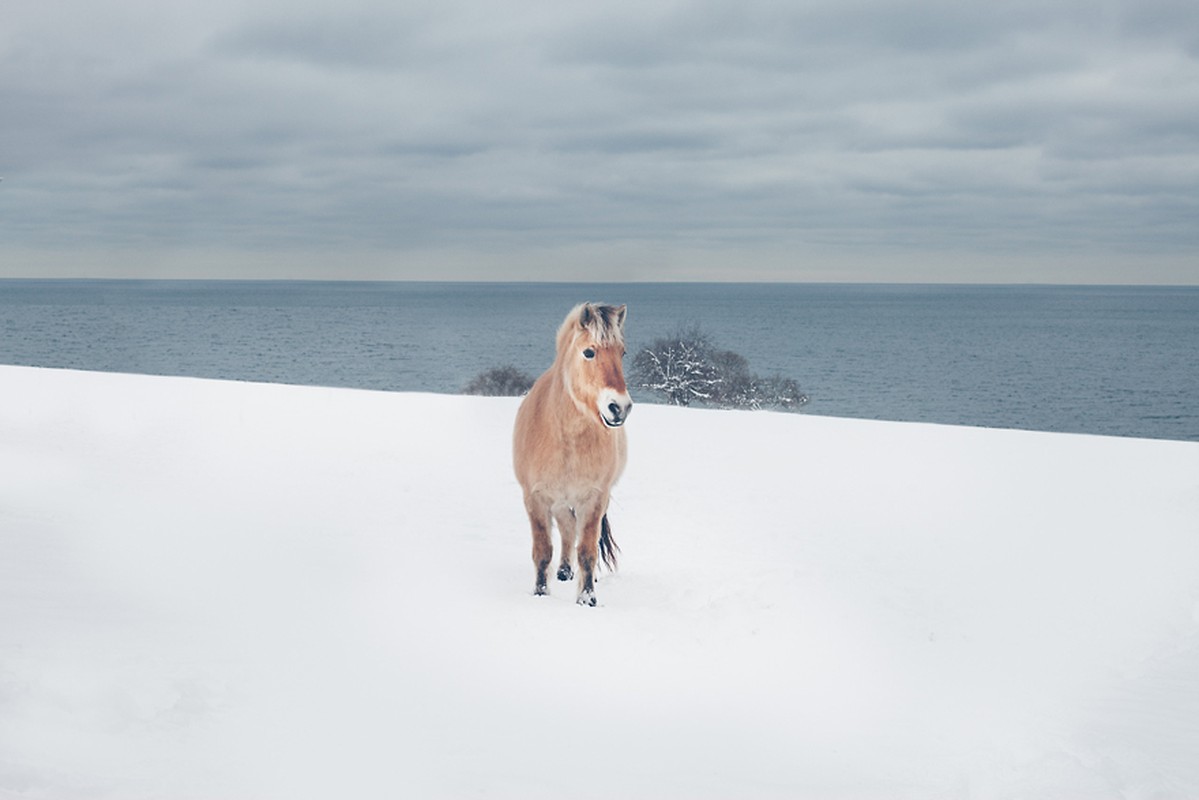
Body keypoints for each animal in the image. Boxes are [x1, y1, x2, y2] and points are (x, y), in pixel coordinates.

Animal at [510, 303, 633, 604]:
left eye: (622, 352)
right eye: (589, 352)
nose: (620, 407)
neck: (566, 439)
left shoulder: (594, 499)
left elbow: (587, 551)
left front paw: (587, 598)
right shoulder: (536, 498)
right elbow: (543, 551)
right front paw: (540, 593)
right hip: (559, 501)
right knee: (566, 529)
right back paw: (564, 570)